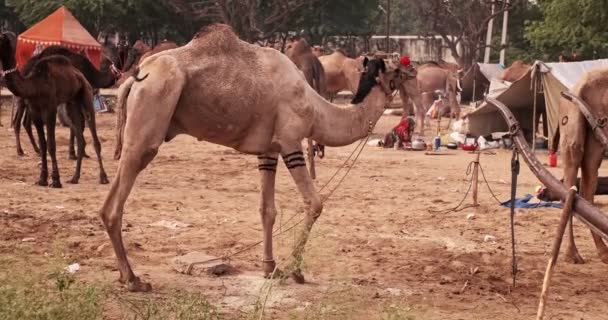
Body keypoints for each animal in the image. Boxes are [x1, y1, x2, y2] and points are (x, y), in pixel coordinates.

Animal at [0, 32, 108, 186]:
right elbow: (43, 144)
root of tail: (81, 76)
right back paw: (75, 178)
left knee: (94, 137)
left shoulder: (50, 109)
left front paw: (56, 180)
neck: (34, 84)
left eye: (0, 38)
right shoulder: (35, 112)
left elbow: (51, 144)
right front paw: (42, 179)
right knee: (80, 138)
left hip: (86, 96)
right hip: (72, 104)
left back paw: (103, 177)